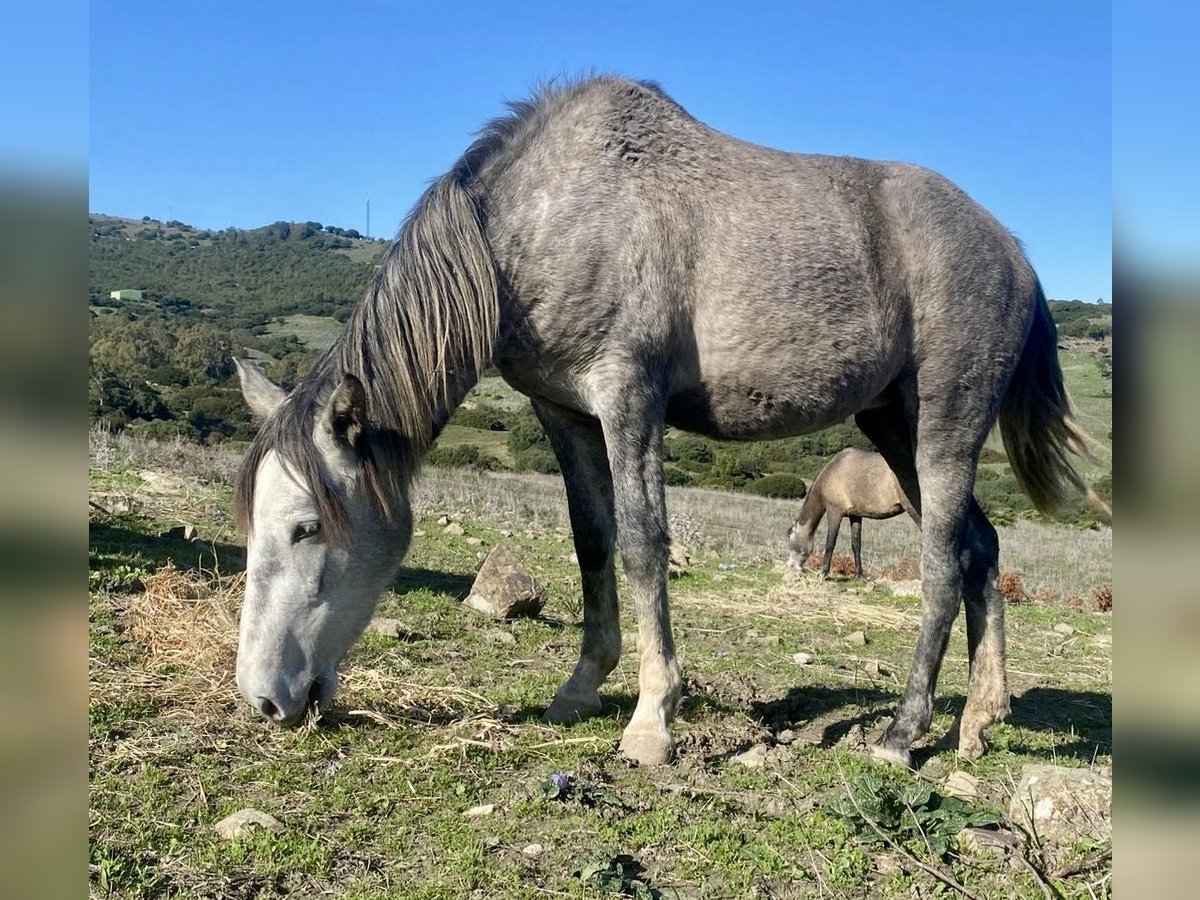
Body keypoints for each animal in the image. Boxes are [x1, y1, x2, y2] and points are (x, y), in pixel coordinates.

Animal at [788, 447, 918, 579]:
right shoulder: (855, 515)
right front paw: (858, 576)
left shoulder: (834, 511)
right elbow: (856, 544)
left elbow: (830, 542)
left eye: (790, 537)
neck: (831, 473)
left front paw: (823, 573)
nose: (791, 566)